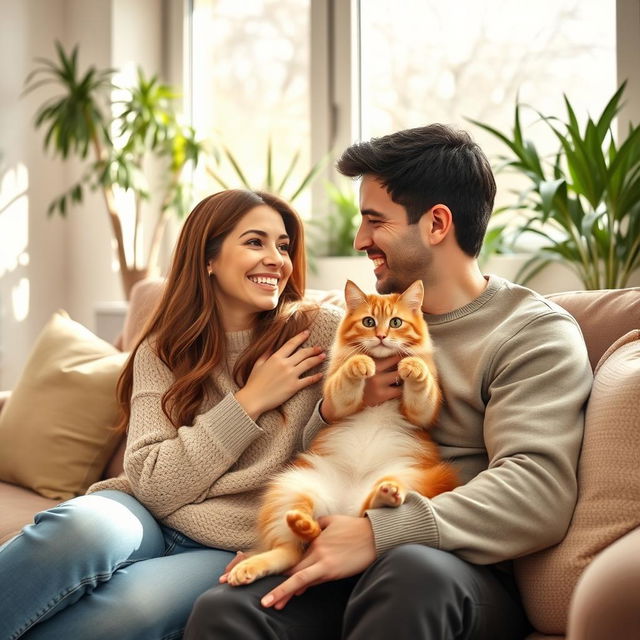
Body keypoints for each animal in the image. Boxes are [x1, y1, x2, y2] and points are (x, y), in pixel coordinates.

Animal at [228, 278, 458, 584]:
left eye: (396, 322)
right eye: (369, 321)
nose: (382, 336)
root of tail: (342, 508)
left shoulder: (424, 412)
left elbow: (422, 385)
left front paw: (411, 364)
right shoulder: (337, 400)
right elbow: (346, 377)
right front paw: (360, 363)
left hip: (411, 479)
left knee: (366, 514)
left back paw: (384, 495)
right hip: (292, 486)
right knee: (292, 549)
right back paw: (274, 546)